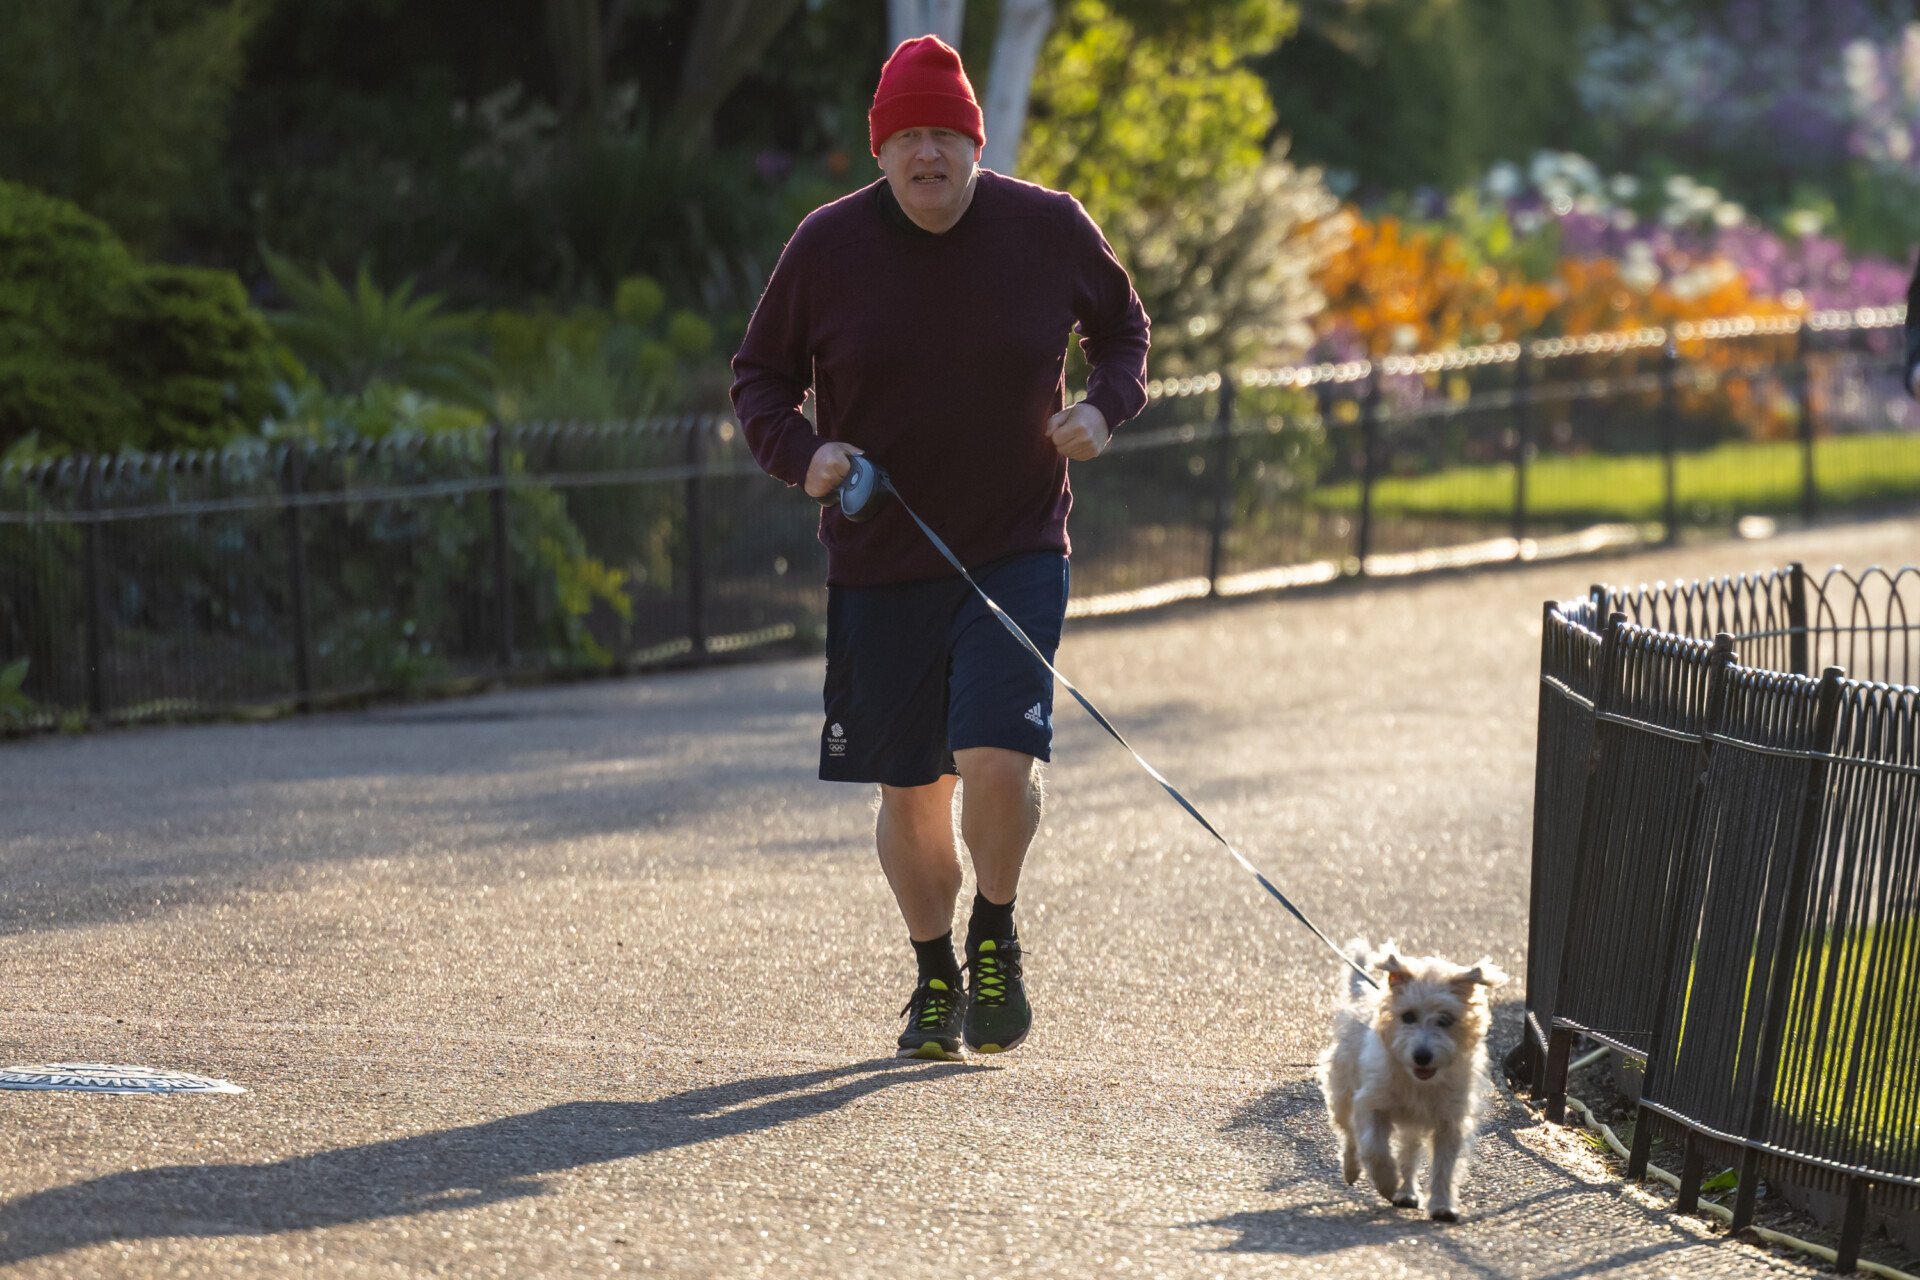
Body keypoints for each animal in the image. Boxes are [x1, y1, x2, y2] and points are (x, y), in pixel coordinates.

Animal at [1320, 940, 1512, 1220]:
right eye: (1408, 1016)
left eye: (1445, 1019)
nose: (1422, 1056)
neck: (1418, 1082)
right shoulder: (1372, 1103)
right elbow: (1374, 1149)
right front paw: (1387, 1183)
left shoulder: (1449, 1120)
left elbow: (1445, 1166)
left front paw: (1442, 1205)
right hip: (1342, 1090)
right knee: (1349, 1134)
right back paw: (1352, 1169)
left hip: (1413, 1124)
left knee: (1408, 1153)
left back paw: (1408, 1192)